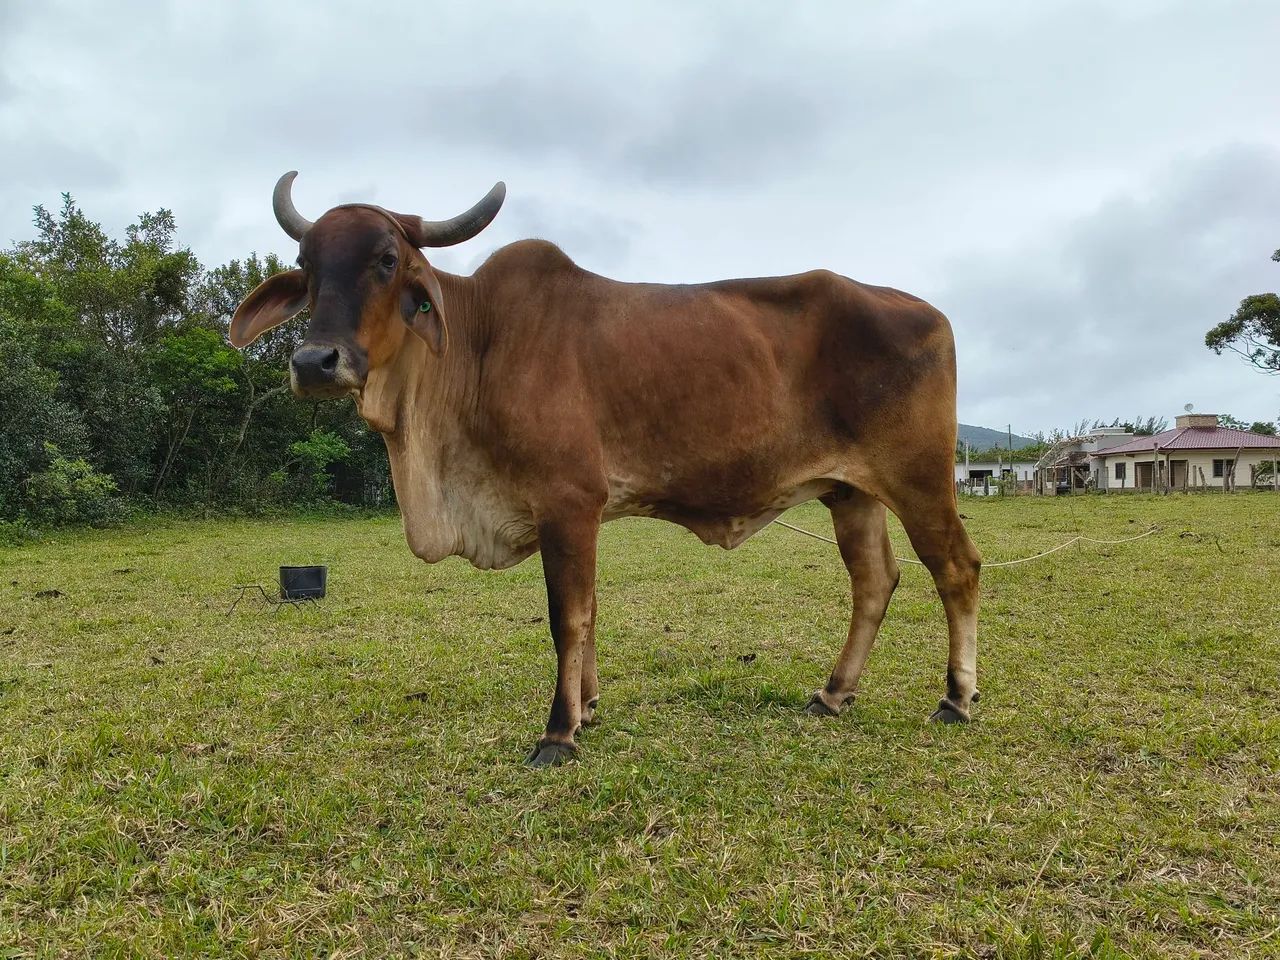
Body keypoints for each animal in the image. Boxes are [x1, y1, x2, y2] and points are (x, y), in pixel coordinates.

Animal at [230, 172, 982, 766]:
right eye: (306, 264)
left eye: (387, 259)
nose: (315, 362)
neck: (477, 349)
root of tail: (928, 310)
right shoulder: (577, 516)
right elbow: (587, 614)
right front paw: (587, 708)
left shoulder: (567, 504)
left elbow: (569, 616)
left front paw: (559, 732)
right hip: (851, 493)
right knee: (874, 580)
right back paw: (833, 693)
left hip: (919, 480)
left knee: (956, 569)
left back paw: (957, 698)